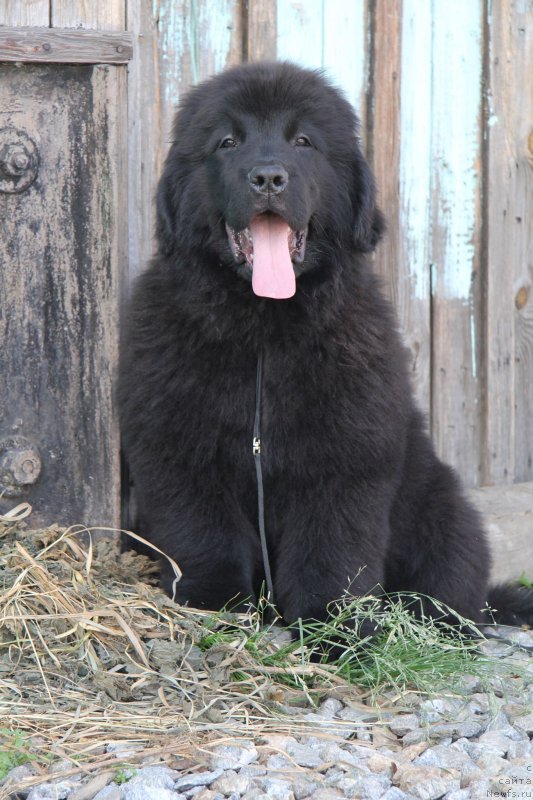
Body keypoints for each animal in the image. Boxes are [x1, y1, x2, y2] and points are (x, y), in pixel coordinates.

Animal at [119, 59, 532, 628]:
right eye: (227, 141)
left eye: (303, 141)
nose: (269, 177)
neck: (264, 325)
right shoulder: (178, 445)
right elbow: (201, 531)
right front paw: (216, 602)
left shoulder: (348, 455)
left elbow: (333, 546)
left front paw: (335, 625)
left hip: (443, 509)